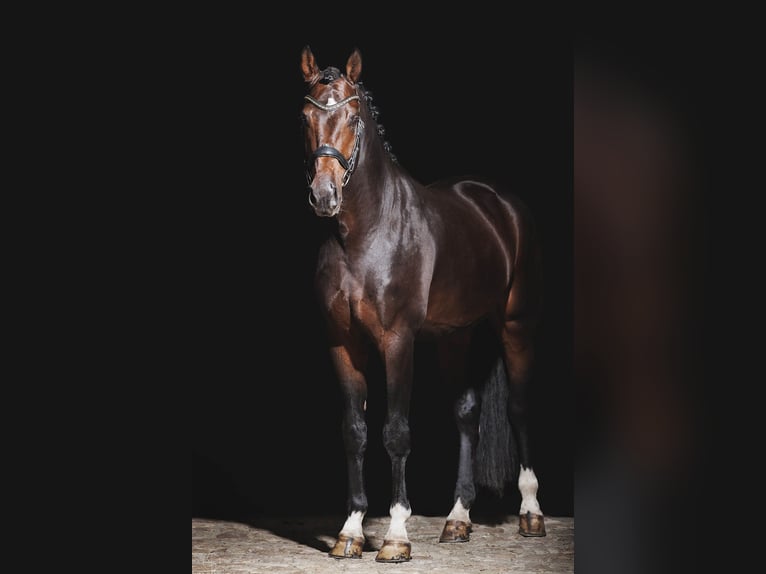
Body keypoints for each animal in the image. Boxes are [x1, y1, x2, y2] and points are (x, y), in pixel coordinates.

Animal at [300, 46, 544, 568]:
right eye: (305, 116)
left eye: (353, 117)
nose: (324, 196)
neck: (365, 234)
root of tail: (500, 203)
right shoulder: (342, 343)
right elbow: (355, 430)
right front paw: (351, 531)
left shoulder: (398, 341)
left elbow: (395, 432)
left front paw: (395, 536)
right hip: (455, 337)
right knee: (468, 415)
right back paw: (458, 519)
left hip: (516, 325)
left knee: (517, 407)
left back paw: (531, 512)